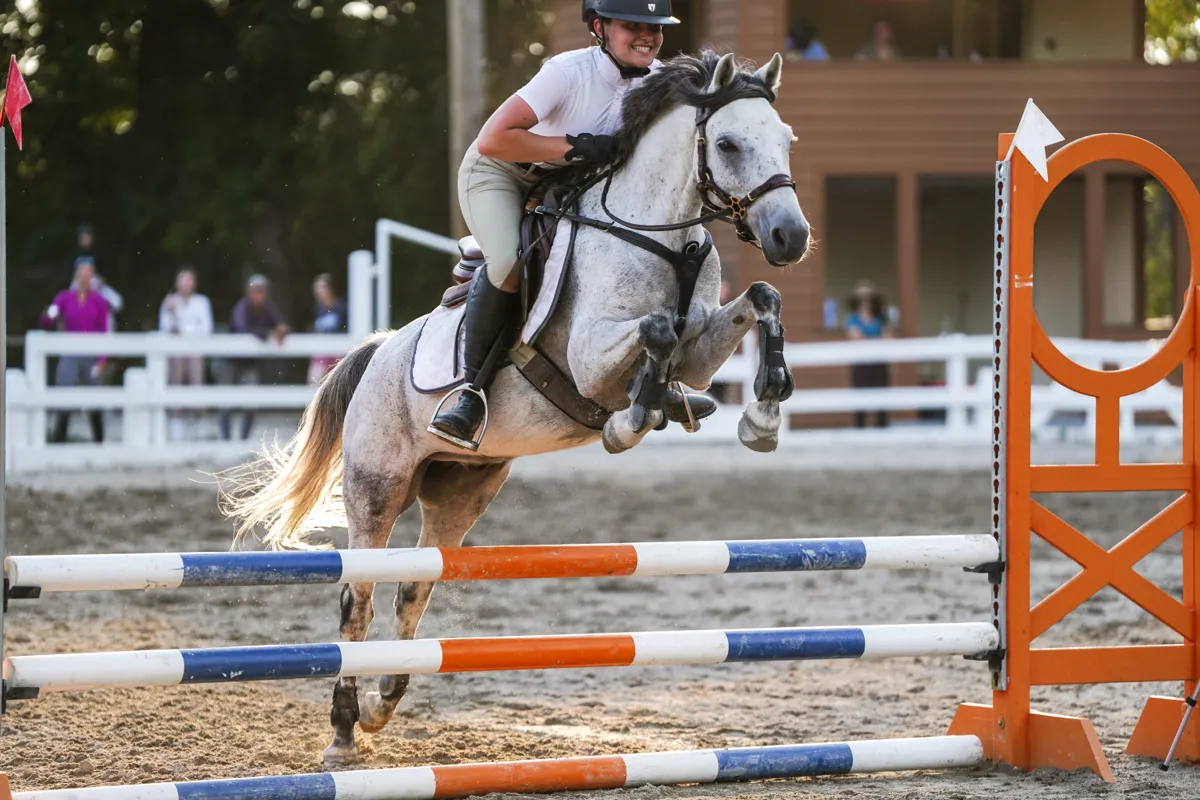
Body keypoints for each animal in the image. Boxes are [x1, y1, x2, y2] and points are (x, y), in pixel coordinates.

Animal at [220, 51, 810, 768]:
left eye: (786, 140)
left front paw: (761, 416)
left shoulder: (701, 349)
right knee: (356, 600)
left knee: (415, 585)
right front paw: (628, 423)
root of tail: (377, 352)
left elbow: (758, 300)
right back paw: (341, 733)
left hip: (460, 492)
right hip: (376, 486)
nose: (790, 236)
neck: (658, 238)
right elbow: (656, 331)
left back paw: (383, 703)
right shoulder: (591, 356)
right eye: (726, 144)